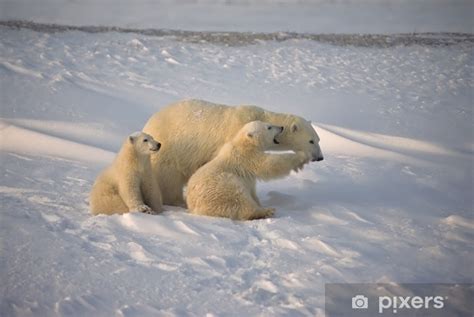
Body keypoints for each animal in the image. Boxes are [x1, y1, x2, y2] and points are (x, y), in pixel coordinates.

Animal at [143, 100, 324, 206]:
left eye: (318, 139)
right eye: (311, 141)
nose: (320, 157)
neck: (259, 117)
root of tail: (148, 123)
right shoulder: (235, 134)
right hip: (169, 152)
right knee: (169, 180)